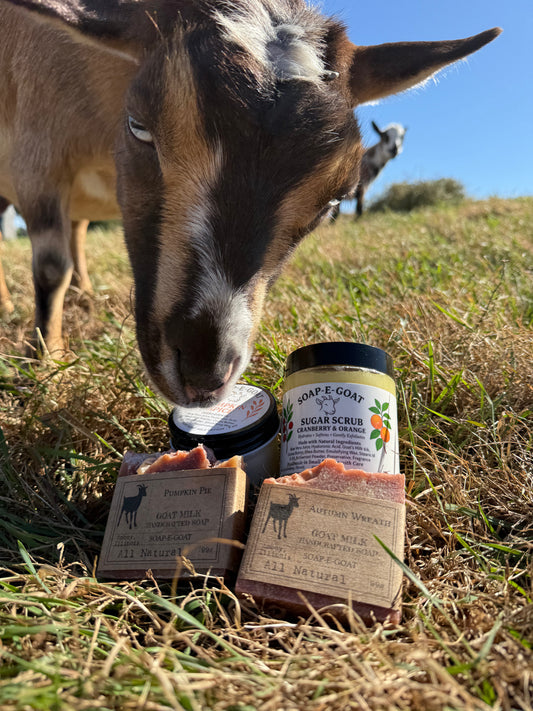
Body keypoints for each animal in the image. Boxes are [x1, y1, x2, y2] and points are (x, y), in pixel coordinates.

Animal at [0, 0, 500, 406]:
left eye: (332, 199)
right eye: (139, 126)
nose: (203, 374)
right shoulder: (36, 156)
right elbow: (51, 268)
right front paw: (45, 365)